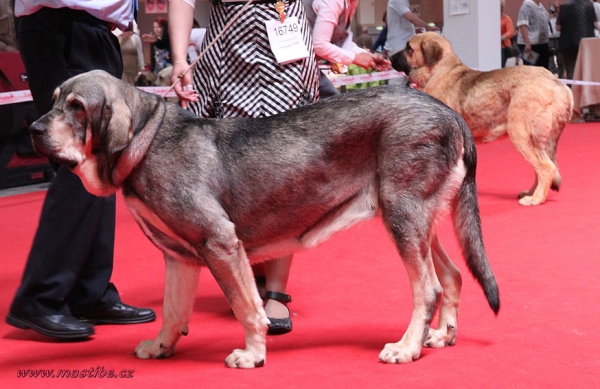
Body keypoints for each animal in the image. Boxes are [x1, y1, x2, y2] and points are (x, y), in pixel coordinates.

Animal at [28, 70, 500, 366]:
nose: (33, 130)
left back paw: (407, 348)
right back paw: (441, 336)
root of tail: (449, 113)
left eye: (77, 107)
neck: (146, 141)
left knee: (429, 288)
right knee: (454, 275)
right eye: (52, 100)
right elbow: (173, 310)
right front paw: (162, 347)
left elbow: (246, 307)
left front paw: (253, 354)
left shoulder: (220, 242)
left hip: (403, 217)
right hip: (417, 221)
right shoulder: (180, 257)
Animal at [392, 32, 576, 206]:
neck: (438, 71)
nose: (391, 57)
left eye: (409, 48)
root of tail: (559, 85)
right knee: (543, 167)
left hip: (521, 133)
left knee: (546, 168)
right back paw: (531, 193)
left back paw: (535, 198)